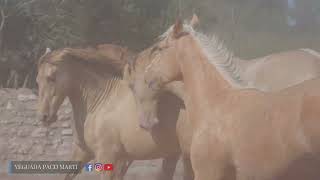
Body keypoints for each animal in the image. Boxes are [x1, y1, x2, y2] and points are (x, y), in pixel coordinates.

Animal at [37, 44, 192, 180]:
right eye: (37, 80)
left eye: (51, 78)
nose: (44, 117)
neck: (102, 101)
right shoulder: (83, 152)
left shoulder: (110, 158)